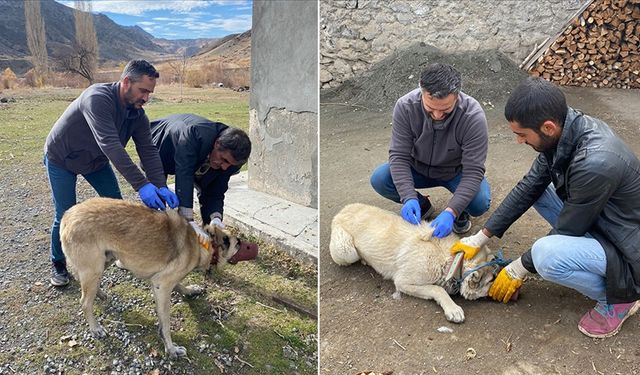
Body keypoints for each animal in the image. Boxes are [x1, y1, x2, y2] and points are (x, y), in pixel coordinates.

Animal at [60, 197, 258, 358]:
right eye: (237, 244)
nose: (248, 246)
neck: (201, 243)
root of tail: (67, 216)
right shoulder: (162, 285)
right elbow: (166, 324)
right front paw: (171, 348)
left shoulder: (165, 281)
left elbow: (179, 285)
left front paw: (189, 291)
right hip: (94, 268)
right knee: (85, 302)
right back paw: (95, 328)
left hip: (105, 261)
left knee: (88, 287)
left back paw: (100, 294)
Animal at [332, 203, 502, 324]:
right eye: (491, 280)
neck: (451, 261)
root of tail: (342, 210)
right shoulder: (402, 282)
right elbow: (437, 289)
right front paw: (452, 308)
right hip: (347, 251)